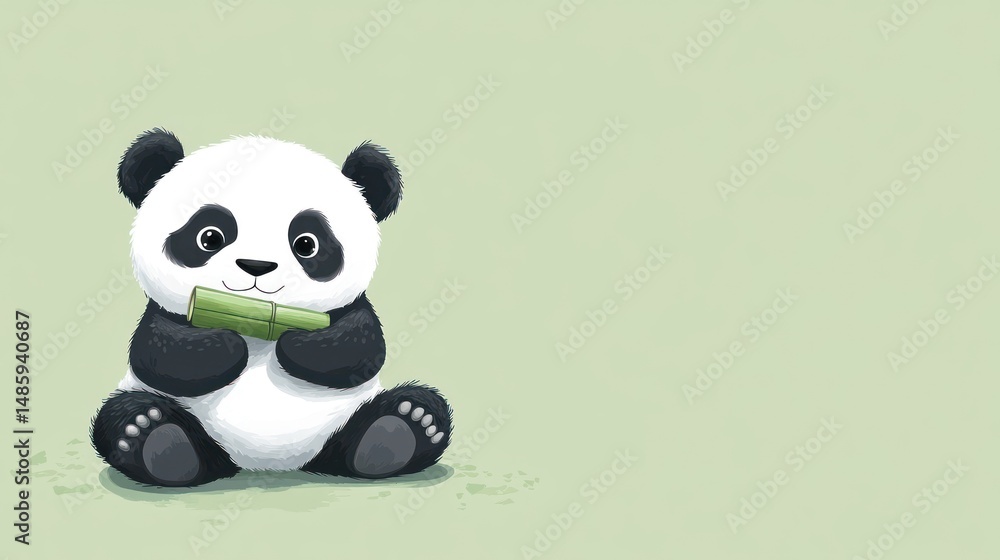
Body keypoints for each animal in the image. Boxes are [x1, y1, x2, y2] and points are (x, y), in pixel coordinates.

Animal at [91, 129, 452, 487]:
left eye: (307, 244)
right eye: (209, 237)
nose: (256, 266)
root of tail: (265, 464)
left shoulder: (352, 310)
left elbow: (362, 345)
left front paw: (298, 340)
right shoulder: (166, 313)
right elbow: (159, 351)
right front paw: (227, 343)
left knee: (407, 410)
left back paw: (401, 427)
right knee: (124, 413)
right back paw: (154, 437)